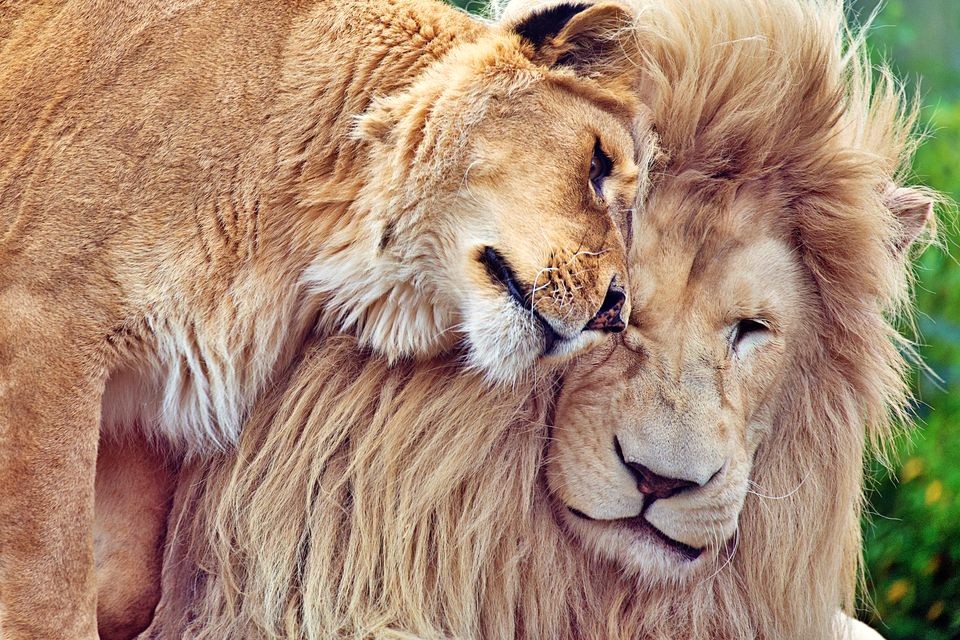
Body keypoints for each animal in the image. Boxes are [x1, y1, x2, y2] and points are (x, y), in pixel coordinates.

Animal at [0, 0, 653, 636]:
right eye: (598, 164)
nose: (616, 311)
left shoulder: (145, 393)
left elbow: (125, 592)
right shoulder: (45, 329)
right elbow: (49, 594)